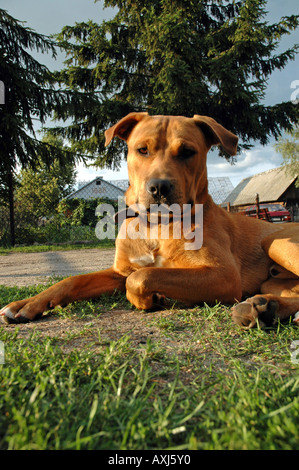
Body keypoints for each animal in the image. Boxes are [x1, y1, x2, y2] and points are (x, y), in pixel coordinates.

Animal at [0, 113, 299, 326]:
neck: (156, 225)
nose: (159, 188)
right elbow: (72, 280)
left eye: (187, 151)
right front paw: (27, 304)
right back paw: (265, 308)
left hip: (276, 242)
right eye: (142, 150)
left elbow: (141, 277)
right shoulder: (119, 271)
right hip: (272, 280)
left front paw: (151, 298)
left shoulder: (223, 275)